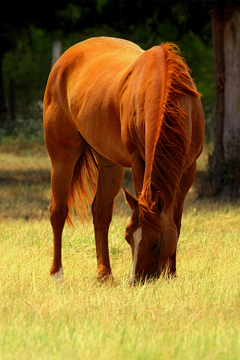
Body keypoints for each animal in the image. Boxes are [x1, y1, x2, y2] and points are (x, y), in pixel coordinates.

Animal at [42, 36, 204, 284]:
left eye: (155, 242)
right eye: (128, 238)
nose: (137, 280)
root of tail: (64, 60)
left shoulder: (188, 168)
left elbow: (176, 221)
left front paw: (171, 273)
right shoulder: (139, 161)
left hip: (109, 162)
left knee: (101, 211)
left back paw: (104, 275)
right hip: (62, 155)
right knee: (58, 211)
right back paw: (57, 274)